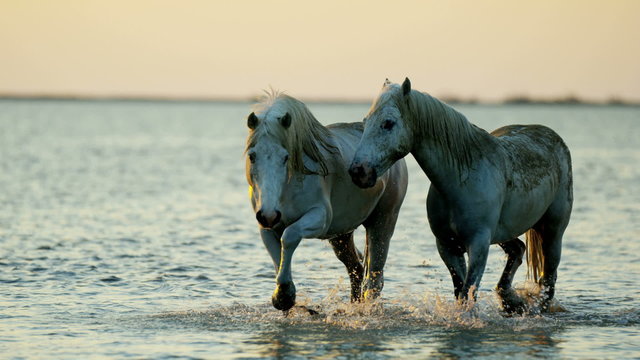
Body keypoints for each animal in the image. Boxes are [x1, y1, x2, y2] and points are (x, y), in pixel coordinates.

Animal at [245, 90, 410, 312]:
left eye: (285, 157)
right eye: (252, 156)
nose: (269, 214)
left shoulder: (319, 217)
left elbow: (289, 237)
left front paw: (285, 293)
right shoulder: (267, 226)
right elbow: (277, 253)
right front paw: (283, 296)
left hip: (383, 222)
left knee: (375, 277)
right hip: (341, 235)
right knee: (356, 269)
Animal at [350, 78, 576, 312]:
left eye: (388, 123)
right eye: (366, 121)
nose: (359, 171)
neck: (460, 181)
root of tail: (550, 135)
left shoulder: (478, 245)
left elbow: (469, 291)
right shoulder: (448, 245)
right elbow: (460, 290)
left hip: (552, 231)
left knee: (548, 280)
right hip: (503, 234)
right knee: (518, 250)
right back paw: (510, 300)